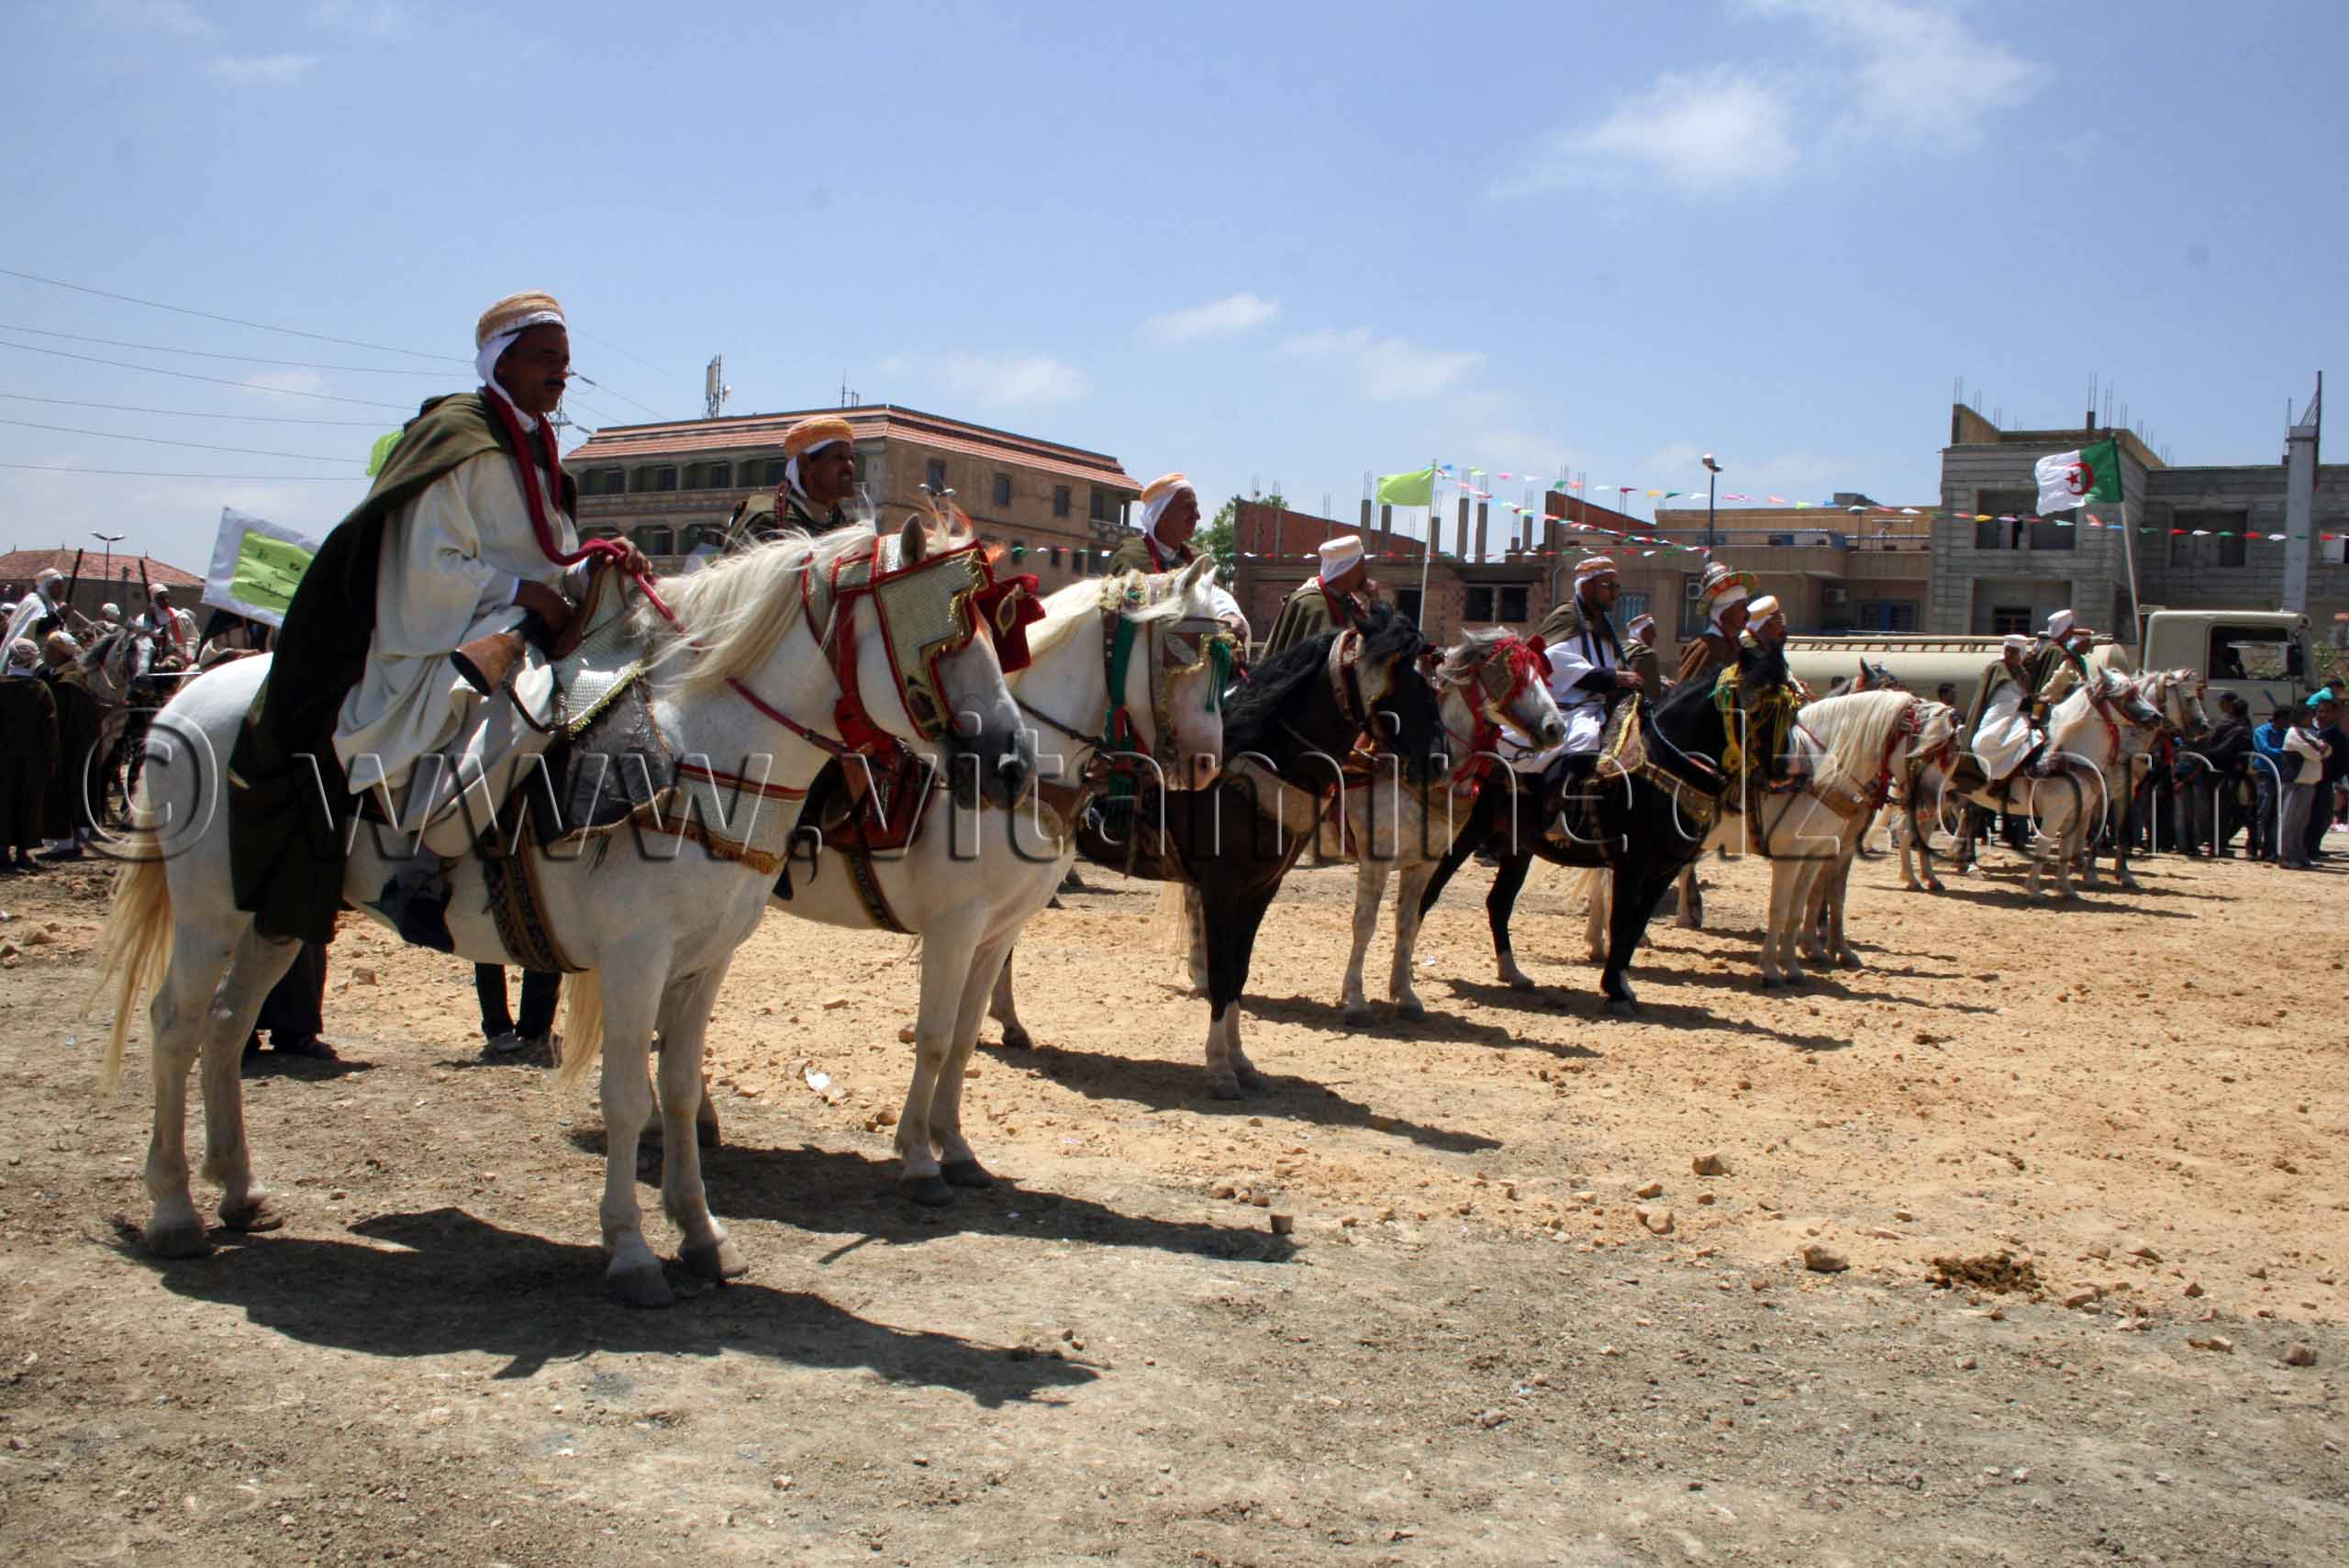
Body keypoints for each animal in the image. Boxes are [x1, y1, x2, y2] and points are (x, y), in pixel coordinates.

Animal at [91, 514, 1035, 1306]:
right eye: (946, 634)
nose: (1014, 761)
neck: (703, 752)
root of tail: (183, 700)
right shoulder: (635, 957)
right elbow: (623, 1095)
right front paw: (632, 1251)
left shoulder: (705, 959)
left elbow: (680, 1088)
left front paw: (703, 1235)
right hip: (211, 910)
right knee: (175, 1023)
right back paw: (175, 1208)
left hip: (280, 915)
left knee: (225, 1025)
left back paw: (239, 1189)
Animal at [753, 560, 1231, 1204]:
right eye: (1183, 647)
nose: (1208, 762)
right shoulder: (953, 929)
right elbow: (932, 1037)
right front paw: (918, 1158)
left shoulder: (996, 933)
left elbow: (962, 1038)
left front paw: (955, 1149)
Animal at [988, 604, 1447, 1097]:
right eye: (1394, 674)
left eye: (1430, 676)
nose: (1437, 760)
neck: (1254, 762)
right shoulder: (1222, 888)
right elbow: (1223, 969)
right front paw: (1219, 1067)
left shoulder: (1260, 890)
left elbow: (1238, 972)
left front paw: (1241, 1061)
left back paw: (1010, 1023)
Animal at [1415, 641, 1796, 1014]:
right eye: (1756, 704)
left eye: (1790, 710)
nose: (1784, 771)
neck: (1662, 764)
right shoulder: (1631, 866)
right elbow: (1622, 921)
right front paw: (1615, 989)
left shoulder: (1664, 870)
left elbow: (1636, 925)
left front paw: (1621, 985)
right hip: (1466, 836)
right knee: (1431, 891)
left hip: (1517, 847)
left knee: (1498, 902)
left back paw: (1512, 972)